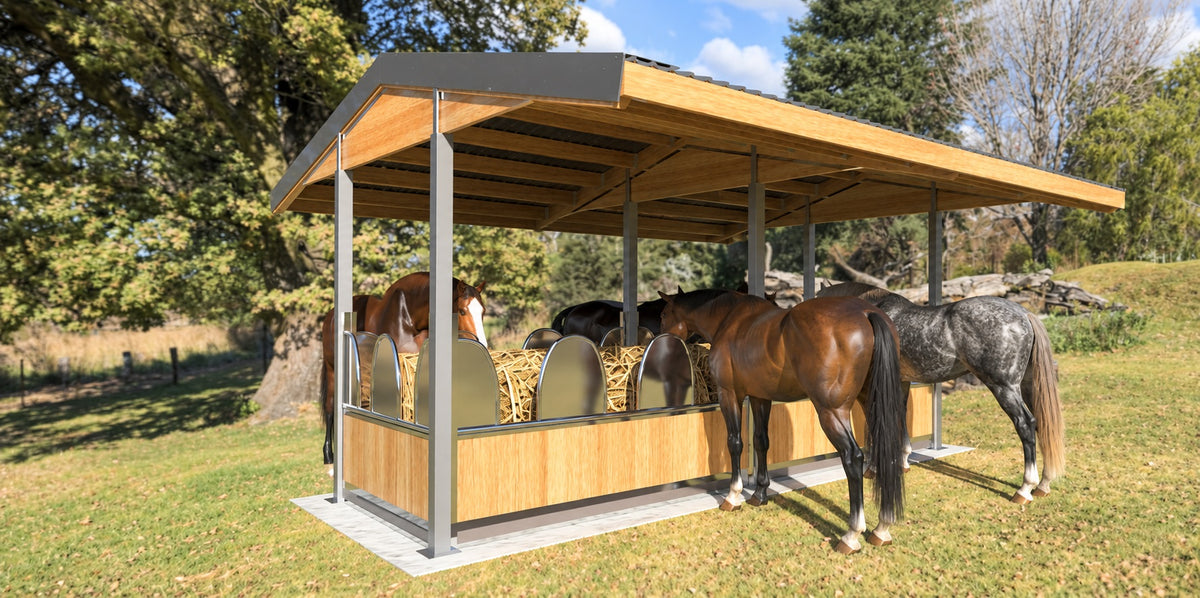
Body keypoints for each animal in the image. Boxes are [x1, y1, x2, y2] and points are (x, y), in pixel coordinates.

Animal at [319, 272, 487, 464]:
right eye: (462, 311)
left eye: (483, 311)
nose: (482, 343)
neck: (409, 320)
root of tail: (331, 315)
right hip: (332, 370)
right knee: (330, 406)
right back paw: (328, 454)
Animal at [657, 288, 908, 554]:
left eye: (663, 314)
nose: (660, 340)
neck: (729, 319)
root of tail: (866, 313)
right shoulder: (760, 397)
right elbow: (761, 442)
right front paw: (759, 494)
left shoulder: (730, 394)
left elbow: (735, 442)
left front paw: (733, 496)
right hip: (869, 402)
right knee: (886, 450)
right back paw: (882, 528)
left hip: (832, 411)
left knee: (853, 457)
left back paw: (851, 535)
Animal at [816, 281, 1064, 504]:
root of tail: (1024, 313)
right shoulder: (902, 382)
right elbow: (901, 418)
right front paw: (903, 461)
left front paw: (874, 468)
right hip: (1028, 385)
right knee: (1042, 422)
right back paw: (1044, 484)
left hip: (1004, 387)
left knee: (1026, 424)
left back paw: (1025, 489)